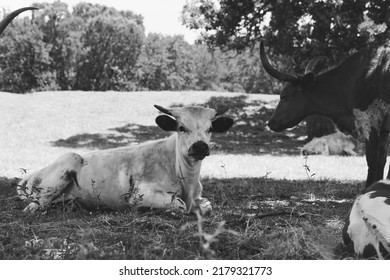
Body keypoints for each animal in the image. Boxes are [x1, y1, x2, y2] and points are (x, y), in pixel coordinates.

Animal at [16, 105, 233, 214]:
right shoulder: (141, 193)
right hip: (68, 161)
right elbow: (177, 205)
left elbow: (207, 206)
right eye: (181, 127)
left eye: (210, 129)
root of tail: (34, 173)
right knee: (33, 207)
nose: (200, 146)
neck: (187, 179)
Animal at [258, 41, 390, 188]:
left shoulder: (370, 119)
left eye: (284, 96)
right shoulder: (384, 130)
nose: (271, 123)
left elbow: (372, 160)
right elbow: (381, 161)